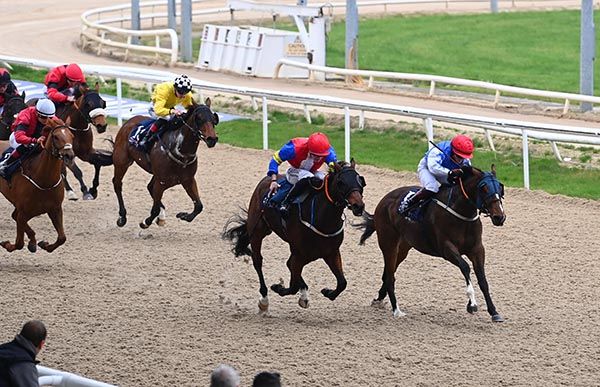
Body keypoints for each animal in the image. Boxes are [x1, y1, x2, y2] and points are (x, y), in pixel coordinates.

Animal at [0, 118, 75, 255]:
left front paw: (43, 244)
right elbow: (19, 243)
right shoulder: (23, 212)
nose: (69, 156)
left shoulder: (55, 209)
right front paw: (7, 244)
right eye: (56, 136)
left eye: (72, 135)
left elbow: (62, 238)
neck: (44, 181)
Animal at [112, 98, 218, 229]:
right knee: (117, 184)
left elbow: (199, 206)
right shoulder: (161, 182)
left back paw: (161, 217)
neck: (181, 152)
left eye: (213, 119)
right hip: (121, 161)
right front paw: (145, 222)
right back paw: (122, 217)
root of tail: (129, 122)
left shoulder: (188, 180)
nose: (212, 139)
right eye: (199, 118)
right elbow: (154, 209)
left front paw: (183, 215)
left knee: (149, 187)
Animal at [223, 159, 366, 314]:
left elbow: (342, 283)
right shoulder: (299, 253)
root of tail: (266, 180)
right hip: (257, 232)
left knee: (289, 265)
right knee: (258, 261)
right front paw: (278, 287)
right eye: (341, 182)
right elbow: (292, 286)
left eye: (360, 180)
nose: (358, 206)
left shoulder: (331, 252)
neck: (321, 218)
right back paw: (264, 300)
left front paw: (327, 292)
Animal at [356, 165, 506, 322]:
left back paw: (379, 299)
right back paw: (397, 310)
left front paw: (494, 312)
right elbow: (465, 267)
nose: (499, 217)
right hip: (388, 243)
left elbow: (483, 280)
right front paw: (472, 304)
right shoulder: (446, 248)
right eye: (483, 188)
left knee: (388, 274)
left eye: (500, 187)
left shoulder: (477, 250)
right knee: (390, 276)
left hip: (403, 248)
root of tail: (384, 200)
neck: (461, 213)